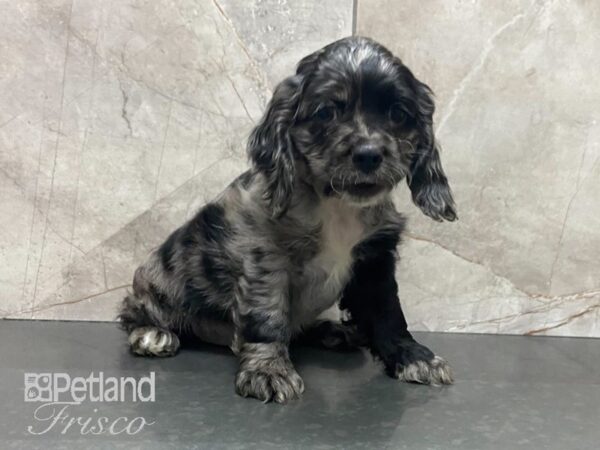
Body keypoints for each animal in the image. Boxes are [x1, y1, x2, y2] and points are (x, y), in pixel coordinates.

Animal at [117, 34, 458, 400]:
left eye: (397, 113)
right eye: (326, 113)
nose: (368, 154)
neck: (337, 205)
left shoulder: (374, 260)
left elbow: (388, 313)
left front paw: (414, 357)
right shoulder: (267, 259)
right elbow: (268, 317)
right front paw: (268, 370)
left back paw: (332, 331)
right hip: (155, 284)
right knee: (132, 310)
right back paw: (152, 334)